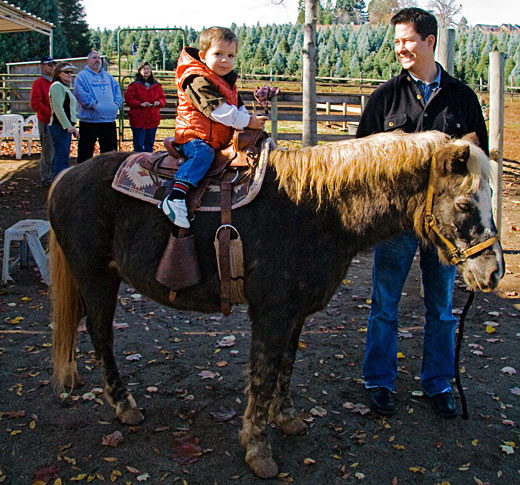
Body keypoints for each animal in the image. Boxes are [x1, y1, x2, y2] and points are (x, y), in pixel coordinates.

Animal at [48, 130, 504, 478]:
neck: (318, 210)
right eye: (464, 204)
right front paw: (258, 449)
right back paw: (124, 405)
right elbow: (264, 376)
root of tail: (67, 176)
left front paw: (286, 419)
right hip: (97, 278)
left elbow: (286, 366)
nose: (494, 271)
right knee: (101, 335)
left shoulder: (295, 313)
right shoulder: (270, 314)